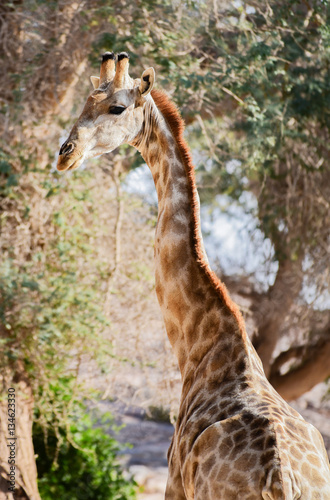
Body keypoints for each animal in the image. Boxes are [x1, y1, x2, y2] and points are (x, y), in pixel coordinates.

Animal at [57, 51, 330, 500]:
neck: (199, 342)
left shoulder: (174, 481)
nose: (65, 154)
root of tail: (282, 479)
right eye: (83, 103)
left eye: (116, 107)